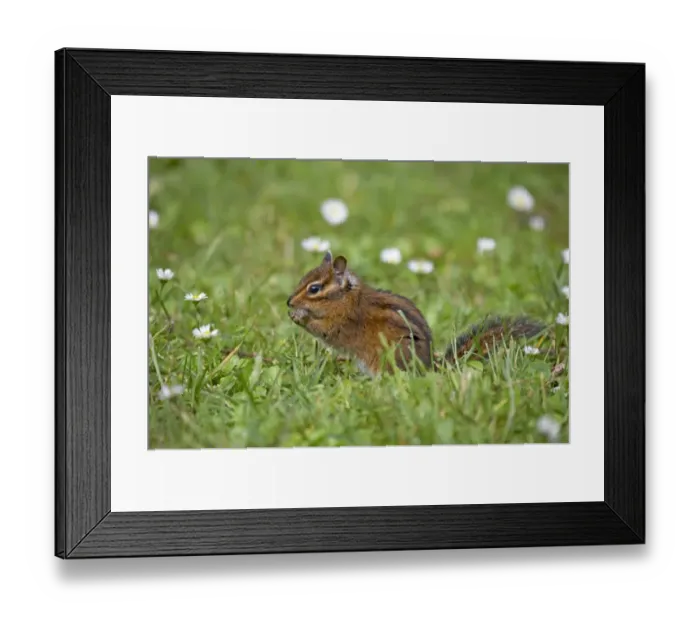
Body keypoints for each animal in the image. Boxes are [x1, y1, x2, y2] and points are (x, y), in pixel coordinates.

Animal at [286, 251, 550, 376]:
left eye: (314, 289)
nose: (288, 302)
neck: (346, 298)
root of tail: (431, 367)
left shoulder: (341, 323)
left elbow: (324, 330)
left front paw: (299, 317)